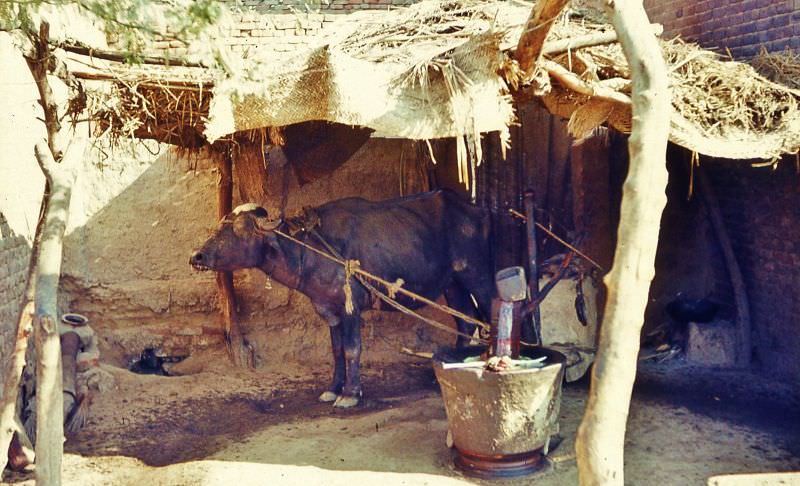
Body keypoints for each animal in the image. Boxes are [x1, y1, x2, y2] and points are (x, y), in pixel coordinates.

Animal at [192, 189, 494, 406]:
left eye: (240, 230)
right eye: (220, 225)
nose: (197, 256)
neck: (308, 252)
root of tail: (477, 211)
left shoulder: (351, 309)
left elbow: (351, 349)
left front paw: (350, 394)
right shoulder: (329, 310)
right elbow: (336, 350)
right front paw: (332, 389)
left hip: (476, 274)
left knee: (490, 309)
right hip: (452, 282)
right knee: (466, 322)